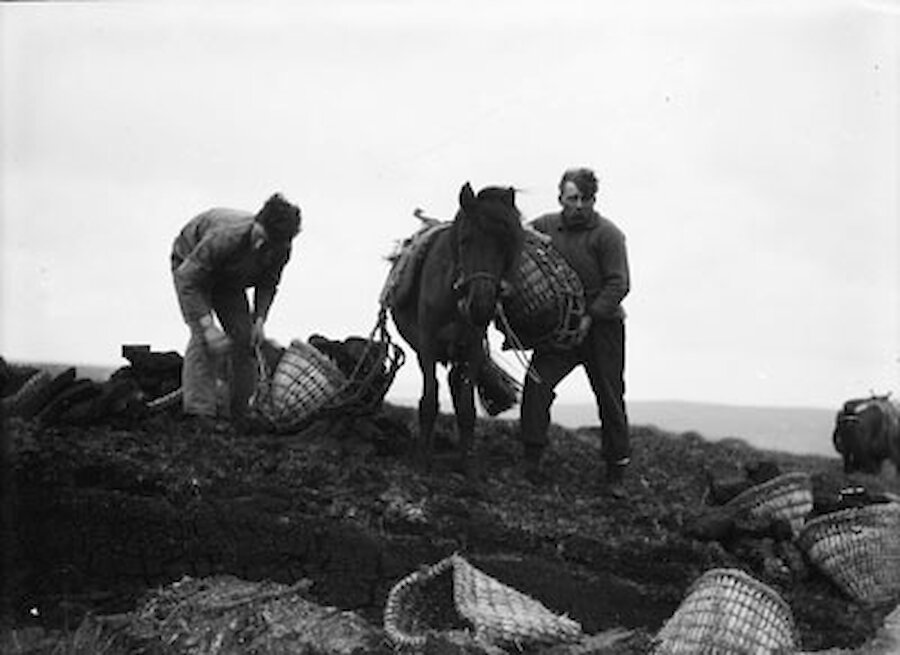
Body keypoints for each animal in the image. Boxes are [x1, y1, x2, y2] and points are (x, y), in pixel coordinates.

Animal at [390, 182, 524, 474]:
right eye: (465, 240)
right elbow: (429, 401)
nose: (481, 306)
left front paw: (468, 464)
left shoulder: (472, 348)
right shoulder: (427, 347)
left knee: (455, 383)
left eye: (505, 244)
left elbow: (466, 408)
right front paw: (422, 460)